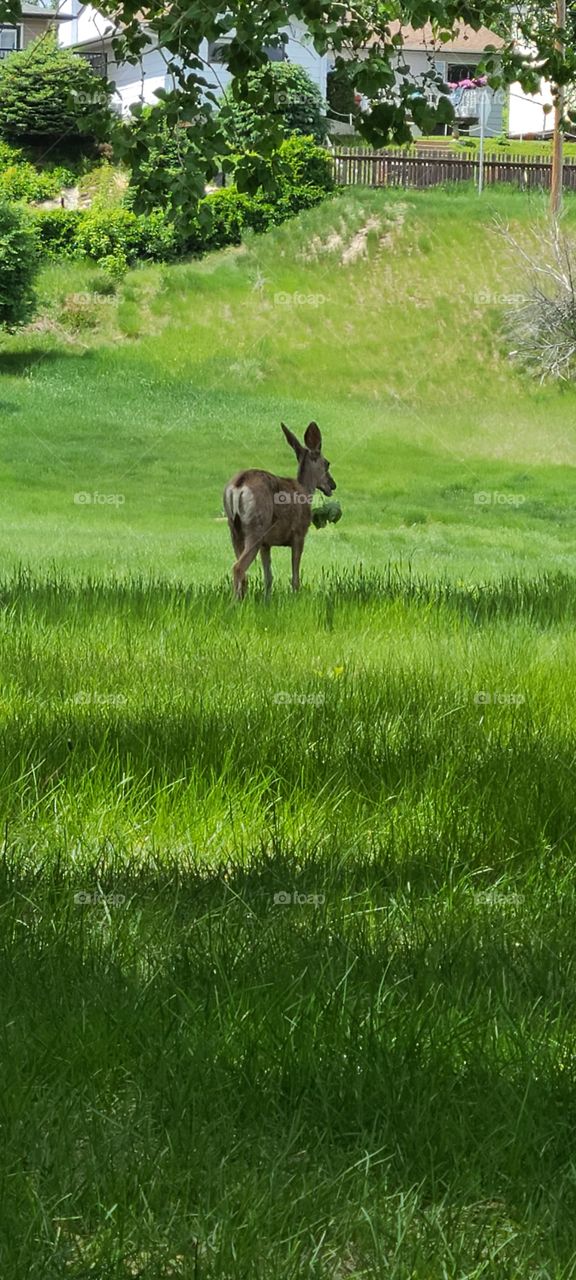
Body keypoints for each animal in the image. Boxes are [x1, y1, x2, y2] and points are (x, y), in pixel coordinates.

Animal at [222, 419, 335, 599]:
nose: (332, 484)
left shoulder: (266, 544)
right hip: (256, 527)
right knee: (238, 567)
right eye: (327, 463)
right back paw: (234, 603)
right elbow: (295, 577)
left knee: (243, 571)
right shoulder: (299, 534)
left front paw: (267, 600)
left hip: (234, 528)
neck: (305, 491)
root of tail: (239, 484)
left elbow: (268, 577)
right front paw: (295, 597)